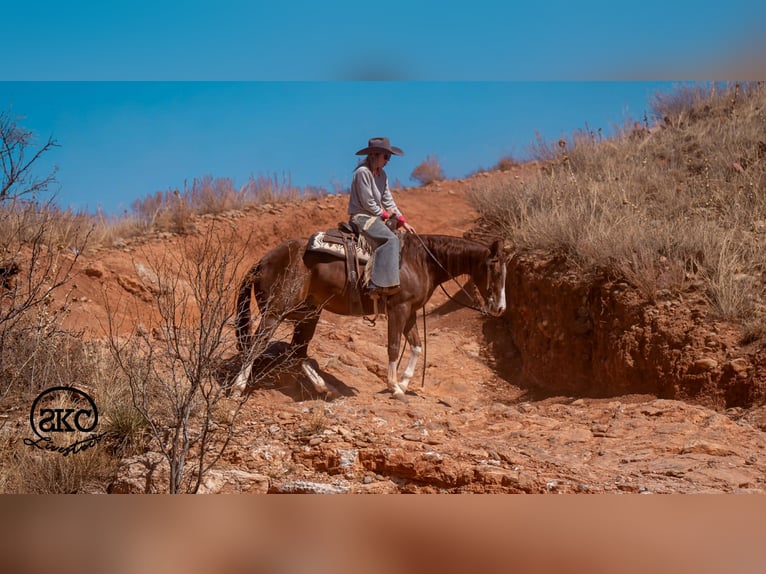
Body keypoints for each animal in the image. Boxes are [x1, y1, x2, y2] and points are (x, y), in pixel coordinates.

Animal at [232, 232, 507, 401]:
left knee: (298, 352)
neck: (419, 262)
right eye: (495, 271)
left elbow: (417, 346)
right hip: (275, 312)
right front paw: (394, 386)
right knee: (258, 344)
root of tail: (262, 261)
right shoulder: (398, 309)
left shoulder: (410, 313)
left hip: (309, 314)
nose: (500, 309)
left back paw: (326, 388)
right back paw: (238, 387)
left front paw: (404, 383)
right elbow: (394, 346)